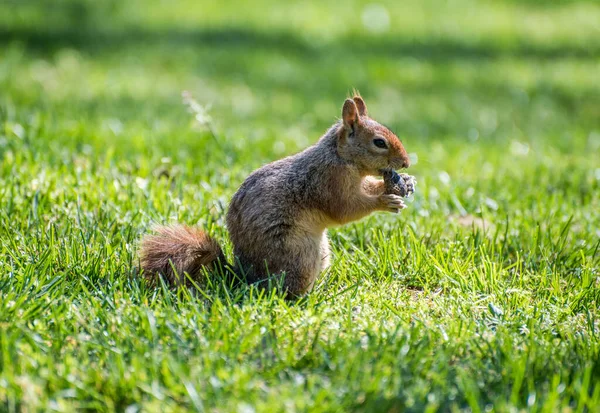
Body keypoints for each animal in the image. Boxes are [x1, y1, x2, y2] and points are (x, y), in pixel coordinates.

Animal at [141, 94, 412, 296]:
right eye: (379, 142)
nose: (406, 163)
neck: (340, 157)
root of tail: (245, 278)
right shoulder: (329, 181)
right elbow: (345, 209)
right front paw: (385, 201)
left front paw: (400, 184)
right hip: (298, 254)